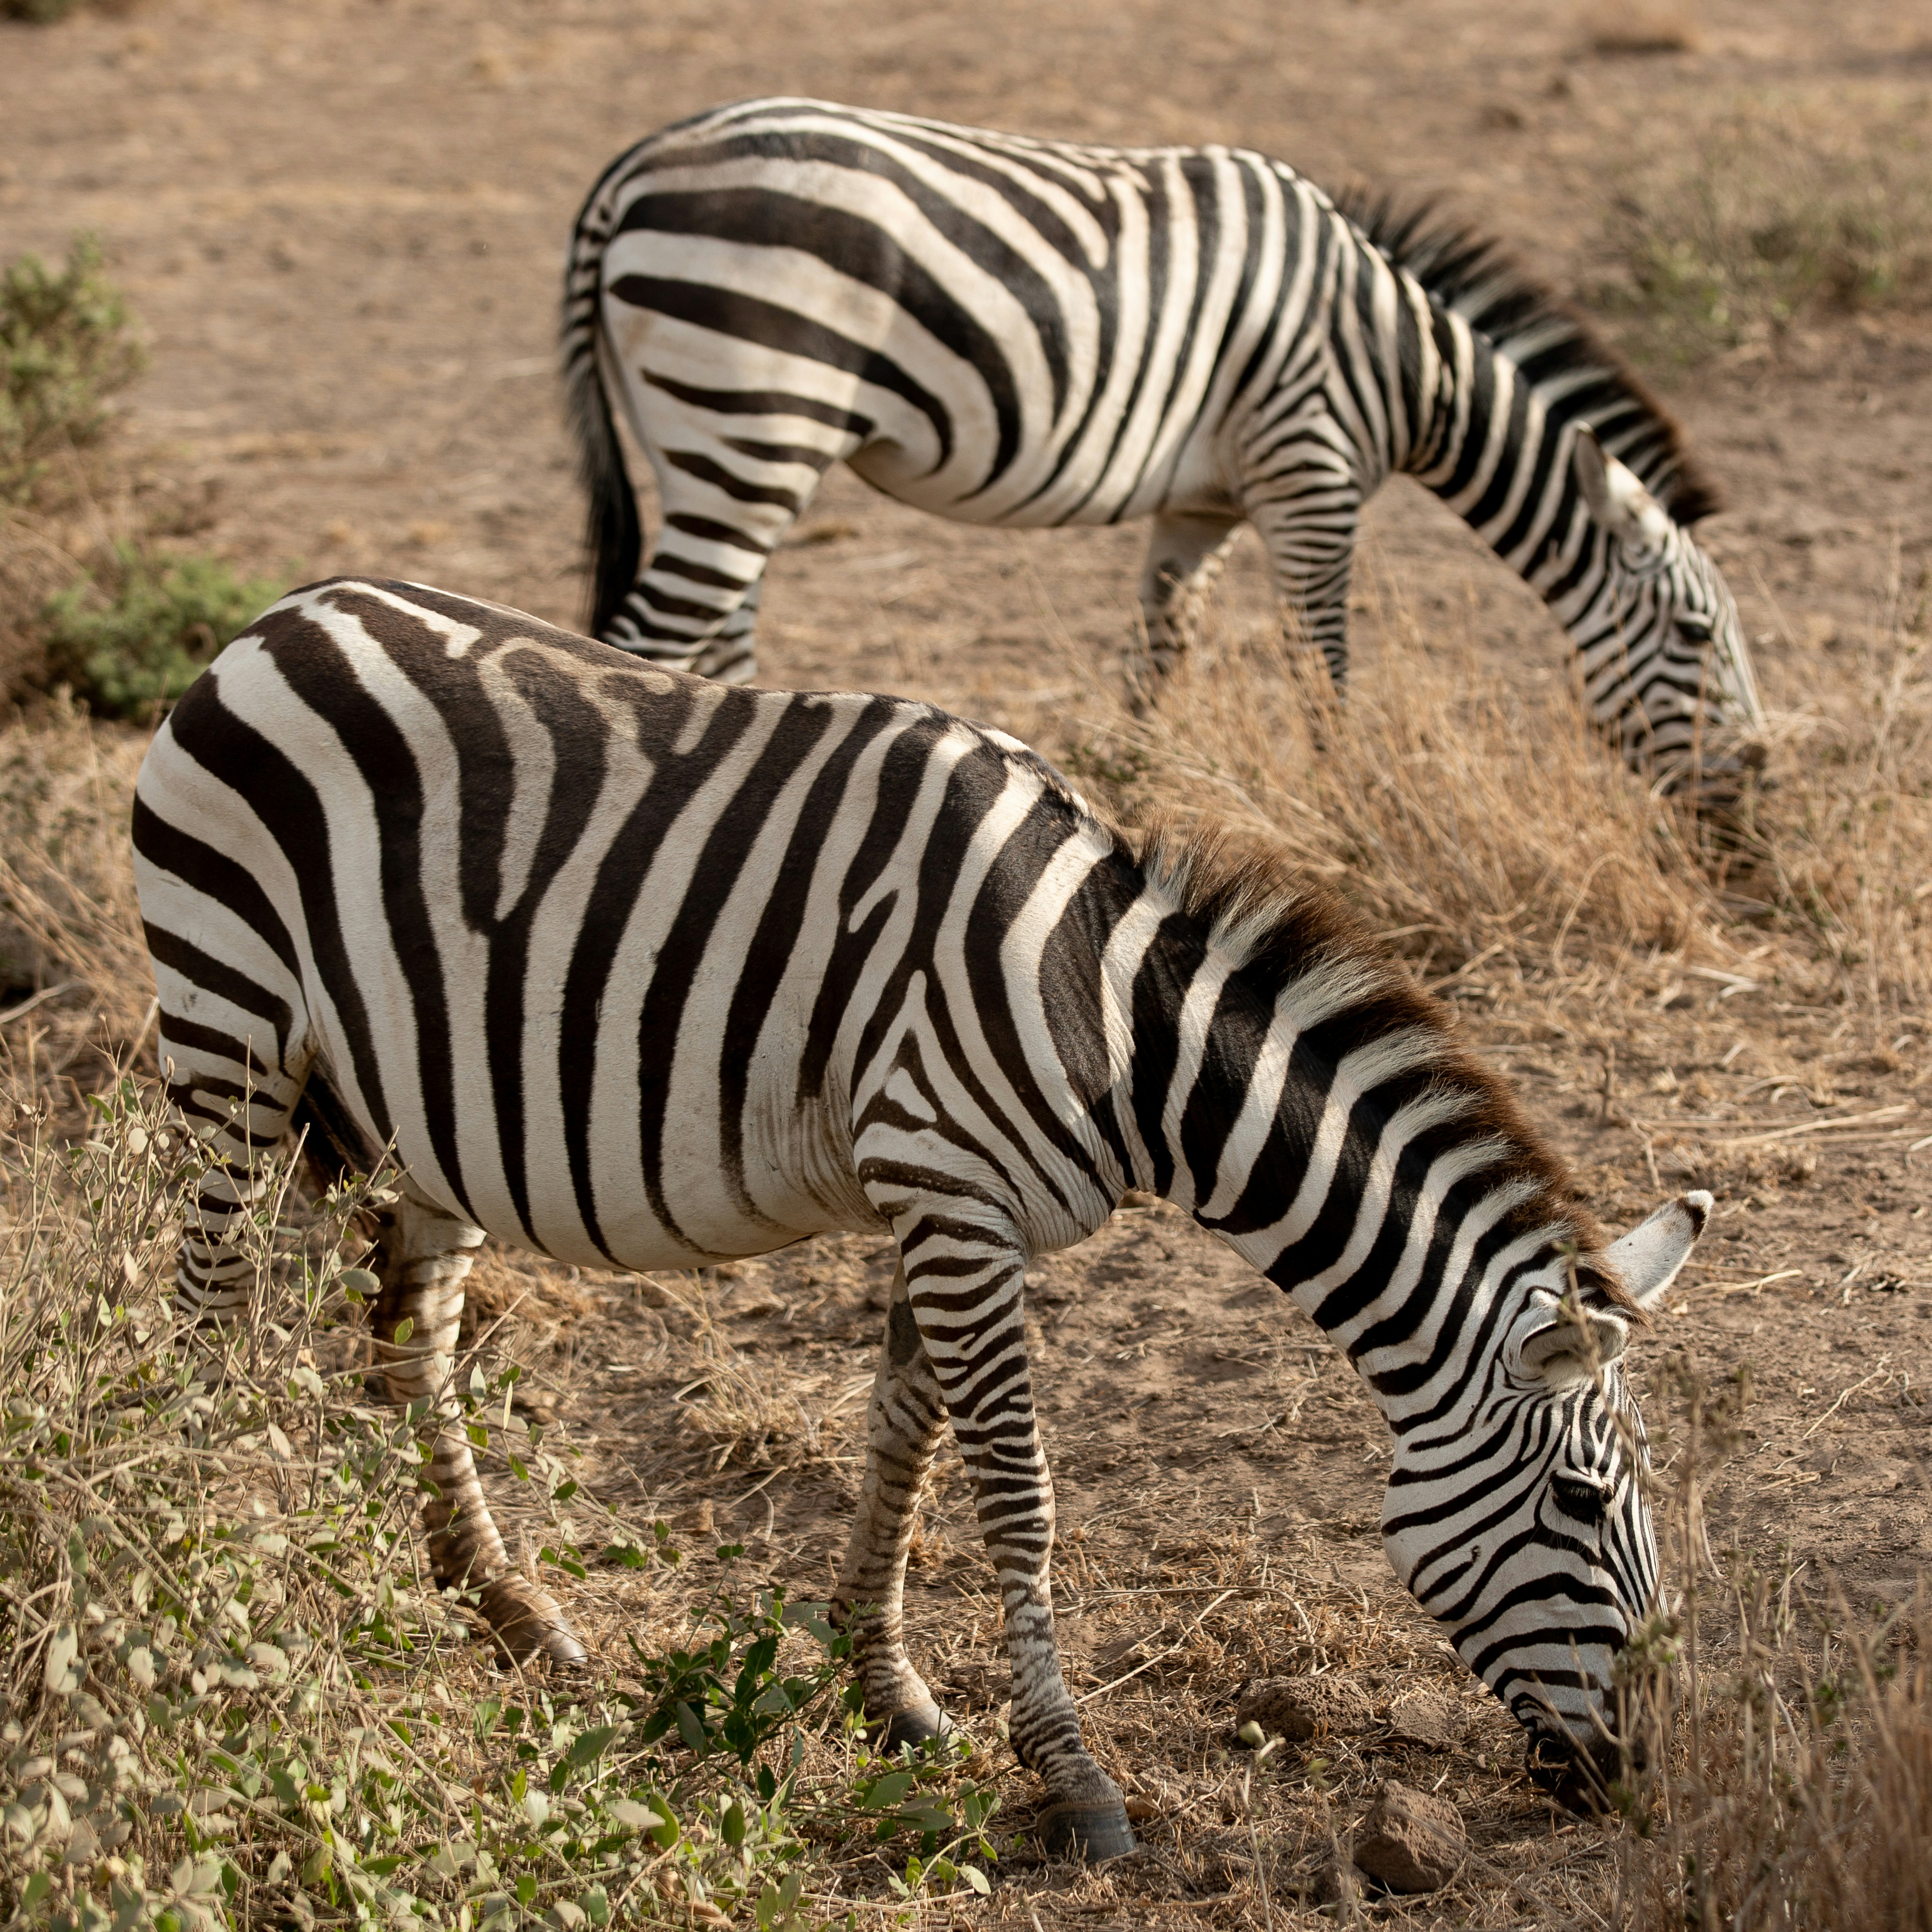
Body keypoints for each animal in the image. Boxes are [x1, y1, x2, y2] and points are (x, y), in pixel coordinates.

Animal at [134, 578, 1710, 1856]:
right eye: (1581, 1503)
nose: (1635, 1777)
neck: (1113, 1021)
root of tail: (275, 617)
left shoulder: (940, 1197)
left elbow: (904, 1429)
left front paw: (880, 1684)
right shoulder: (949, 1185)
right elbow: (1017, 1485)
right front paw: (1069, 1775)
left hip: (422, 1107)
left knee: (414, 1334)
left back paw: (506, 1609)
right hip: (234, 1042)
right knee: (204, 1314)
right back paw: (205, 1579)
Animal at [561, 98, 1764, 800]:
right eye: (1697, 634)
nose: (1758, 803)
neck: (1400, 360)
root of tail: (635, 168)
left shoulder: (1204, 506)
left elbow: (1159, 657)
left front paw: (1135, 800)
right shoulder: (1310, 472)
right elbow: (1322, 666)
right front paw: (1351, 808)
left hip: (715, 445)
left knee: (717, 637)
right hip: (755, 417)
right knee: (646, 640)